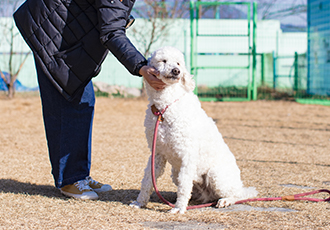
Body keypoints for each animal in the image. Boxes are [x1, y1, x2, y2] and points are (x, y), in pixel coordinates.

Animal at [130, 46, 258, 214]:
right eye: (163, 61)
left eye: (178, 63)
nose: (176, 71)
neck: (164, 108)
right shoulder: (157, 153)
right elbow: (147, 180)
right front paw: (140, 202)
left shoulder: (187, 155)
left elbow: (184, 185)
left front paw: (178, 208)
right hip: (176, 173)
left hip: (215, 175)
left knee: (236, 195)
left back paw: (225, 200)